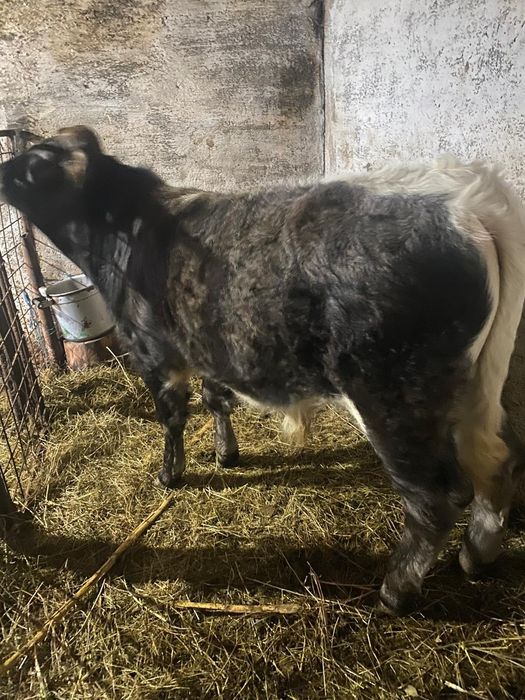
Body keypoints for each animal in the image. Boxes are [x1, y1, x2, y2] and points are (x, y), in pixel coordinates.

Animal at [1, 126, 524, 615]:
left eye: (32, 167)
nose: (2, 174)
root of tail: (462, 194)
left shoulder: (153, 351)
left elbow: (172, 416)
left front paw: (171, 475)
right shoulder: (206, 343)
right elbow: (216, 398)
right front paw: (226, 454)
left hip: (391, 394)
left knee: (436, 496)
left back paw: (396, 590)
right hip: (480, 381)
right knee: (497, 458)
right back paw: (477, 556)